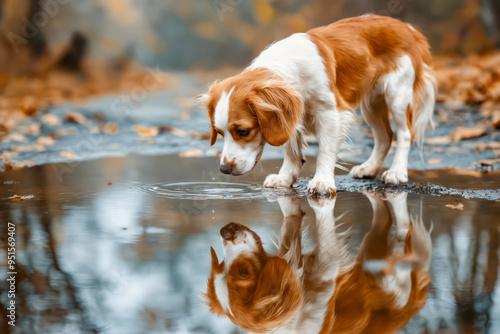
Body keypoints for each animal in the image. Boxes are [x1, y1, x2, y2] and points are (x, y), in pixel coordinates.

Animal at [198, 15, 434, 197]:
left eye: (243, 131)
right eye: (220, 133)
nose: (224, 169)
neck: (289, 67)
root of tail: (409, 28)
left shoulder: (330, 113)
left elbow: (325, 151)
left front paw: (322, 182)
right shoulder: (291, 117)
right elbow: (291, 151)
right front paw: (285, 177)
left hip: (397, 95)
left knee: (405, 134)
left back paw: (397, 172)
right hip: (372, 105)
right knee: (385, 135)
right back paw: (370, 168)